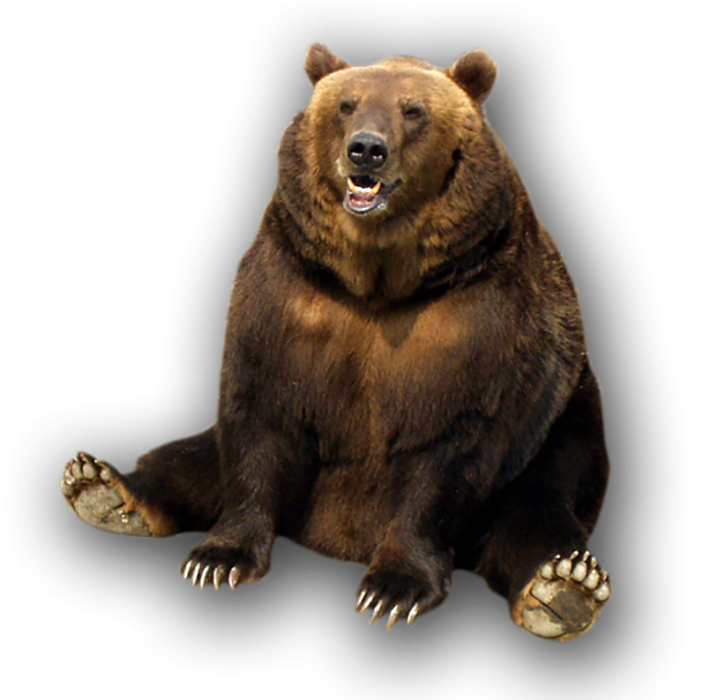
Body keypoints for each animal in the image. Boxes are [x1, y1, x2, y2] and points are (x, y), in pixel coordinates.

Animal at [59, 40, 612, 642]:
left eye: (413, 110)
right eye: (346, 105)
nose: (366, 150)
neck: (378, 278)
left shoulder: (476, 314)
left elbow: (454, 442)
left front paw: (392, 591)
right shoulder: (291, 293)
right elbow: (258, 412)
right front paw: (218, 559)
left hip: (565, 428)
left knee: (537, 514)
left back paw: (564, 587)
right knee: (188, 457)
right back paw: (101, 485)